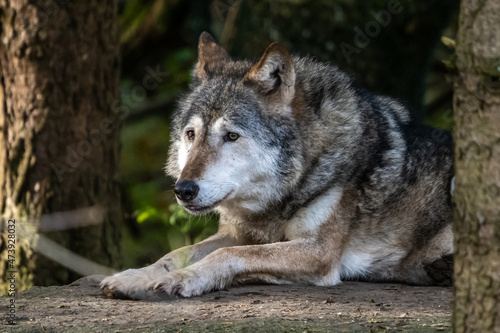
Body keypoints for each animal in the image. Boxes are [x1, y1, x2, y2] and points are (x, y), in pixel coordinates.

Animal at [99, 33, 456, 298]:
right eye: (191, 134)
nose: (183, 190)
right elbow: (174, 254)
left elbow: (229, 255)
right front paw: (134, 276)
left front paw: (185, 280)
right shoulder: (237, 233)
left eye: (231, 135)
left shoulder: (318, 252)